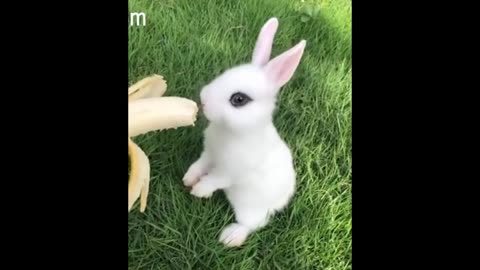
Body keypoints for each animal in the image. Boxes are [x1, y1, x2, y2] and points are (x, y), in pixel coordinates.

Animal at [182, 17, 306, 247]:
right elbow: (199, 165)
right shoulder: (209, 155)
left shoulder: (230, 172)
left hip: (250, 210)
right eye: (225, 73)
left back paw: (230, 237)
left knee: (253, 225)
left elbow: (214, 180)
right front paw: (189, 179)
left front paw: (199, 191)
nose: (203, 100)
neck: (231, 132)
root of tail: (281, 200)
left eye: (239, 99)